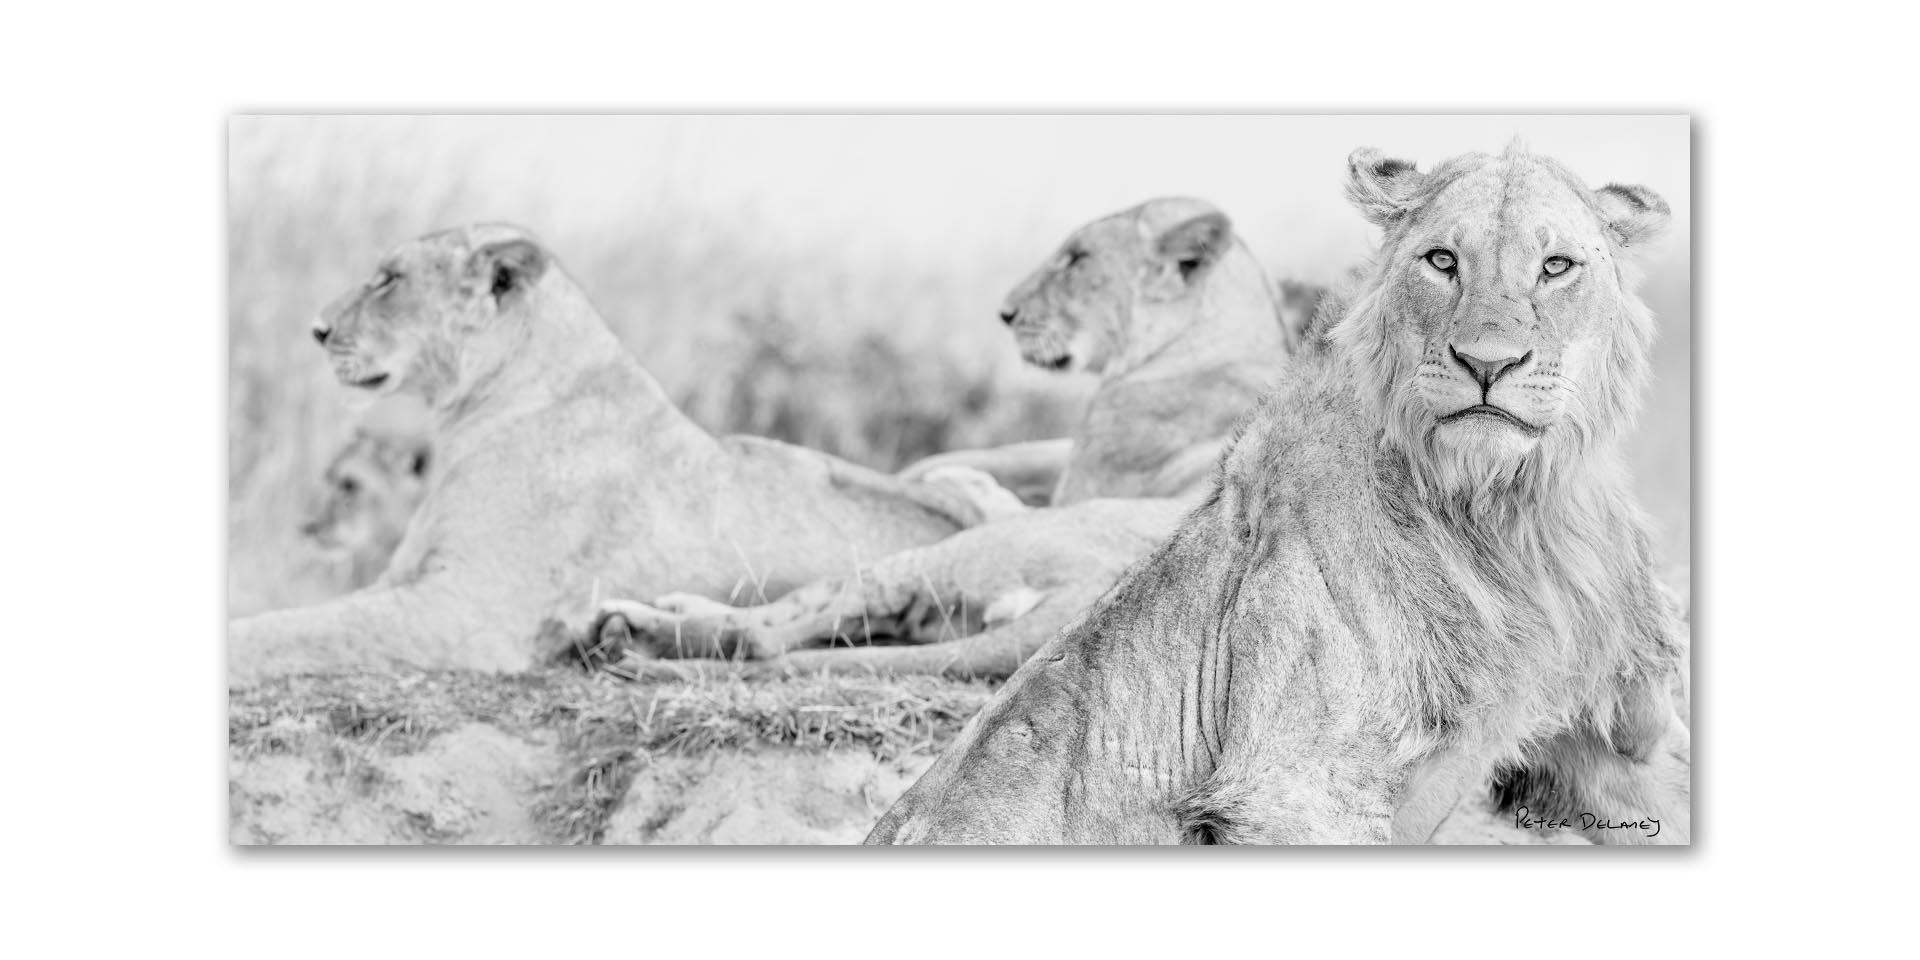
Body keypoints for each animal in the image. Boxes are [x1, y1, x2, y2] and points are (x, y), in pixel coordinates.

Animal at [228, 224, 1001, 684]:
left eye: (388, 280)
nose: (316, 329)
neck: (472, 416)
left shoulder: (465, 611)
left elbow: (299, 628)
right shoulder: (405, 578)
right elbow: (307, 615)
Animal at [585, 198, 1291, 680]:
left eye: (1078, 258)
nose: (1005, 313)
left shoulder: (1085, 476)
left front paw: (953, 478)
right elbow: (1002, 457)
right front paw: (946, 471)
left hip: (958, 557)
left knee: (775, 632)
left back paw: (632, 626)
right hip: (942, 605)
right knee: (819, 623)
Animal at [864, 144, 1690, 845]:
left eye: (1556, 266)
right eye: (1442, 261)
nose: (1488, 363)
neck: (1501, 515)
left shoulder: (1616, 736)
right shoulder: (1295, 788)